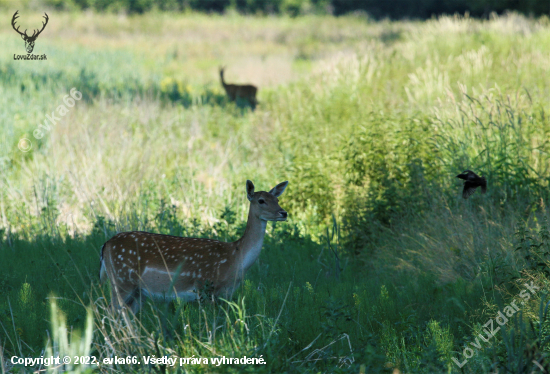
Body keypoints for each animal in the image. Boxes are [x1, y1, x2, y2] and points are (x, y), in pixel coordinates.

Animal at [100, 180, 288, 312]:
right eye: (261, 200)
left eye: (277, 199)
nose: (283, 213)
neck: (235, 258)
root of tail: (105, 245)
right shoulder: (205, 288)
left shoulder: (226, 294)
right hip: (121, 280)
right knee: (110, 311)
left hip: (137, 291)